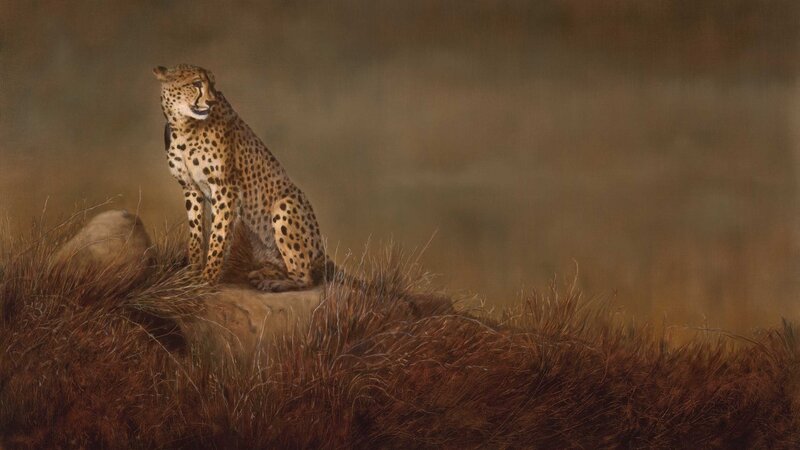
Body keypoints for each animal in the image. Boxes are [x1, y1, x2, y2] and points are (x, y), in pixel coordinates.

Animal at [153, 64, 327, 292]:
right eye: (196, 83)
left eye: (212, 84)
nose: (211, 101)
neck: (184, 126)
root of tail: (322, 256)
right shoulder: (191, 188)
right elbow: (196, 233)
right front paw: (190, 273)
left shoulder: (225, 188)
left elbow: (218, 236)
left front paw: (207, 279)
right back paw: (262, 273)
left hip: (285, 206)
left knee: (305, 277)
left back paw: (274, 283)